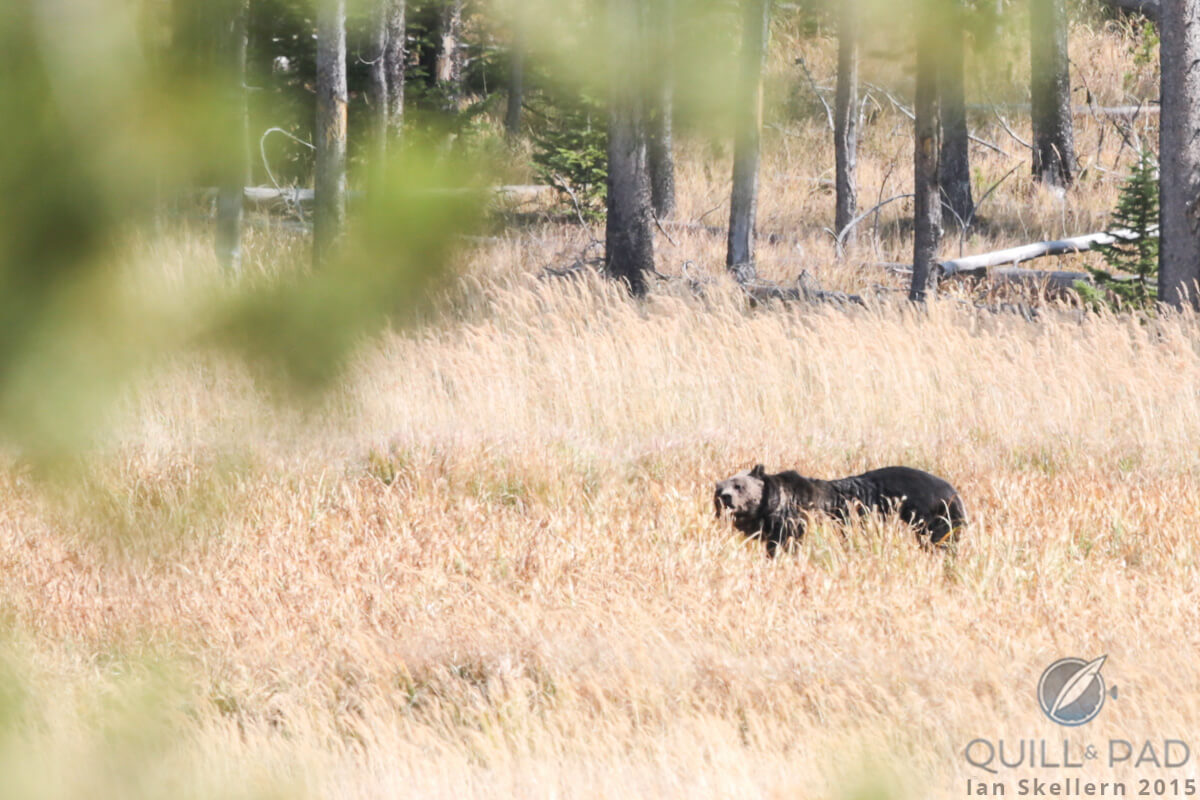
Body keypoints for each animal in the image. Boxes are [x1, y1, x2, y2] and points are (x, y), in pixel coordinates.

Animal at [714, 464, 966, 557]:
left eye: (738, 485)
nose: (726, 498)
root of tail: (954, 492)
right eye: (719, 489)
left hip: (931, 516)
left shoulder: (797, 520)